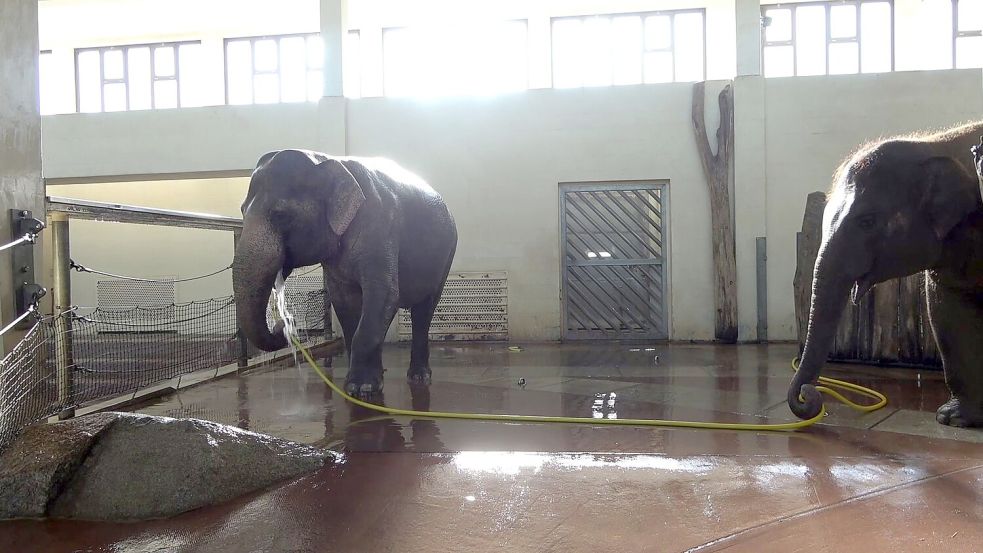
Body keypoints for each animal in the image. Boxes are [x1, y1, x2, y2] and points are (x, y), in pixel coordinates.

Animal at [233, 149, 460, 394]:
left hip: (448, 253)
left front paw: (362, 388)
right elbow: (344, 302)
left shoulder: (380, 228)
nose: (282, 325)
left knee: (424, 310)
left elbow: (385, 294)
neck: (327, 160)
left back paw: (419, 377)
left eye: (280, 215)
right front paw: (357, 385)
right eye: (242, 211)